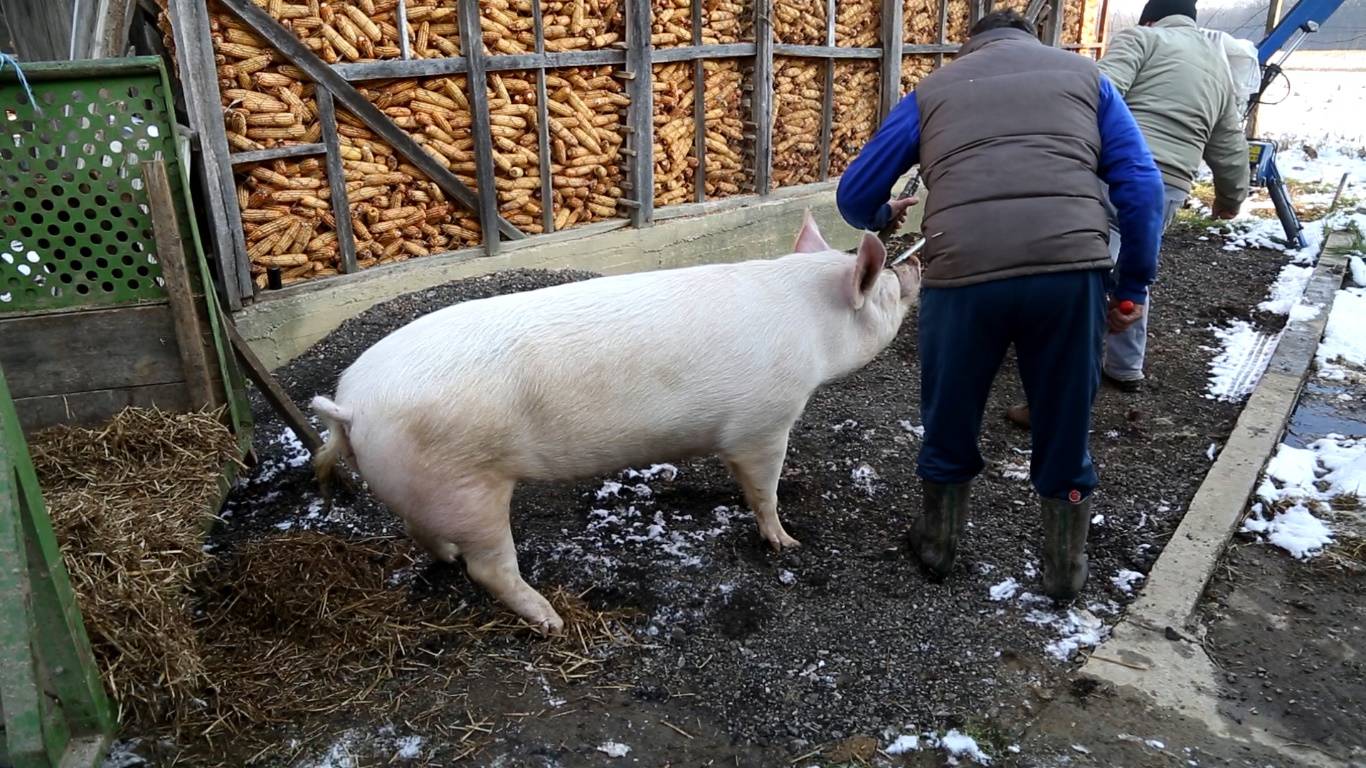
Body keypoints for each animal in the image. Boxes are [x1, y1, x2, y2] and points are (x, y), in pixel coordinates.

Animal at [312, 211, 917, 631]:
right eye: (885, 287)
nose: (910, 262)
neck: (813, 326)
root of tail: (352, 406)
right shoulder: (764, 422)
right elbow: (763, 488)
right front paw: (787, 543)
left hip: (425, 487)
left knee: (423, 533)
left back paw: (453, 559)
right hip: (466, 487)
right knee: (488, 567)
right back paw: (551, 620)